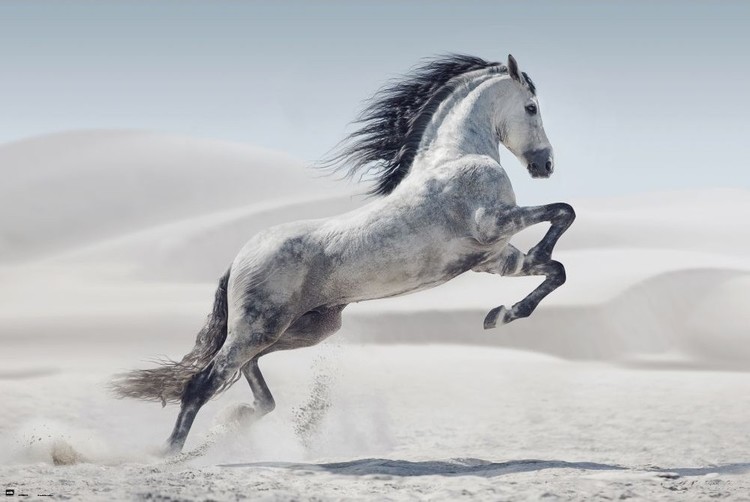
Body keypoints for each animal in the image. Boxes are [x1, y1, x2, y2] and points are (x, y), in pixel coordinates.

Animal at [111, 54, 576, 454]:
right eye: (531, 107)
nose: (546, 165)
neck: (456, 157)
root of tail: (240, 258)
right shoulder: (492, 224)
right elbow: (563, 212)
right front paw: (512, 296)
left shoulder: (495, 259)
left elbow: (556, 270)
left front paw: (500, 315)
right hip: (260, 327)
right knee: (204, 381)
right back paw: (169, 453)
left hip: (303, 329)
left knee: (246, 370)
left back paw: (240, 417)